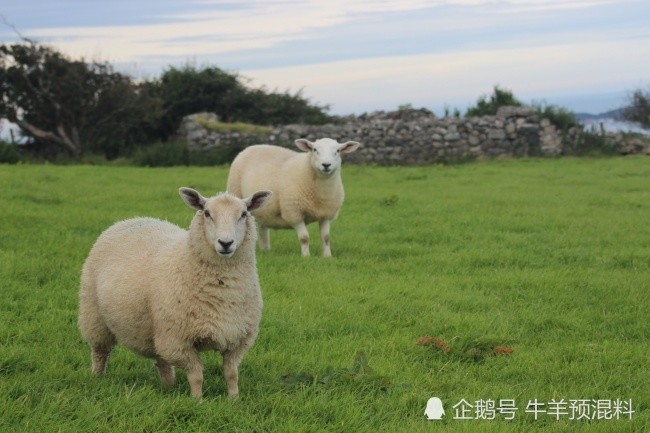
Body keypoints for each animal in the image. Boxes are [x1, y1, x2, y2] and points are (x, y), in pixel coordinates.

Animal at [78, 187, 270, 396]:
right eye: (207, 213)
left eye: (243, 214)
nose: (225, 243)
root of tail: (130, 220)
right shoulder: (179, 341)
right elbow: (196, 376)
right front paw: (197, 400)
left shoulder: (238, 338)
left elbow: (231, 374)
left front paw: (234, 399)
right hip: (95, 317)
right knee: (99, 352)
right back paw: (97, 377)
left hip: (156, 329)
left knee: (161, 359)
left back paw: (168, 386)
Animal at [227, 137, 360, 255]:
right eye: (315, 149)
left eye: (338, 150)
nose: (326, 164)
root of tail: (253, 146)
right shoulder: (294, 213)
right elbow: (304, 238)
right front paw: (306, 257)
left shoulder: (326, 214)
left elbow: (326, 237)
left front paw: (327, 256)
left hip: (263, 210)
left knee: (262, 228)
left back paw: (265, 250)